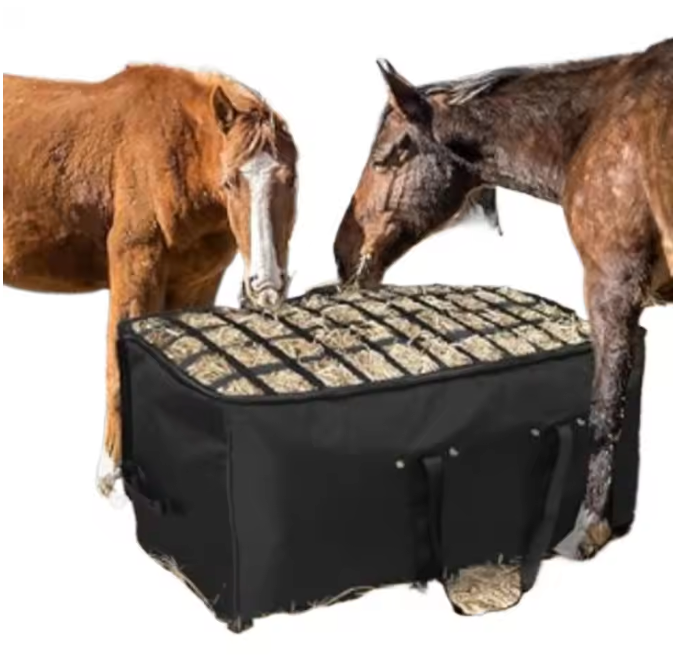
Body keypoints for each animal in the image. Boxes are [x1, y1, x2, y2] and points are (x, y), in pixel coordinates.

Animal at [3, 64, 299, 499]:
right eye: (230, 182)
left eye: (290, 180)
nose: (266, 286)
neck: (178, 152)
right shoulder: (136, 264)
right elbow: (115, 368)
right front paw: (111, 475)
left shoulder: (196, 283)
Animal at [334, 39, 672, 567]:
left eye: (388, 156)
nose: (342, 254)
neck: (596, 121)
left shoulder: (611, 289)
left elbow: (605, 408)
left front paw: (588, 528)